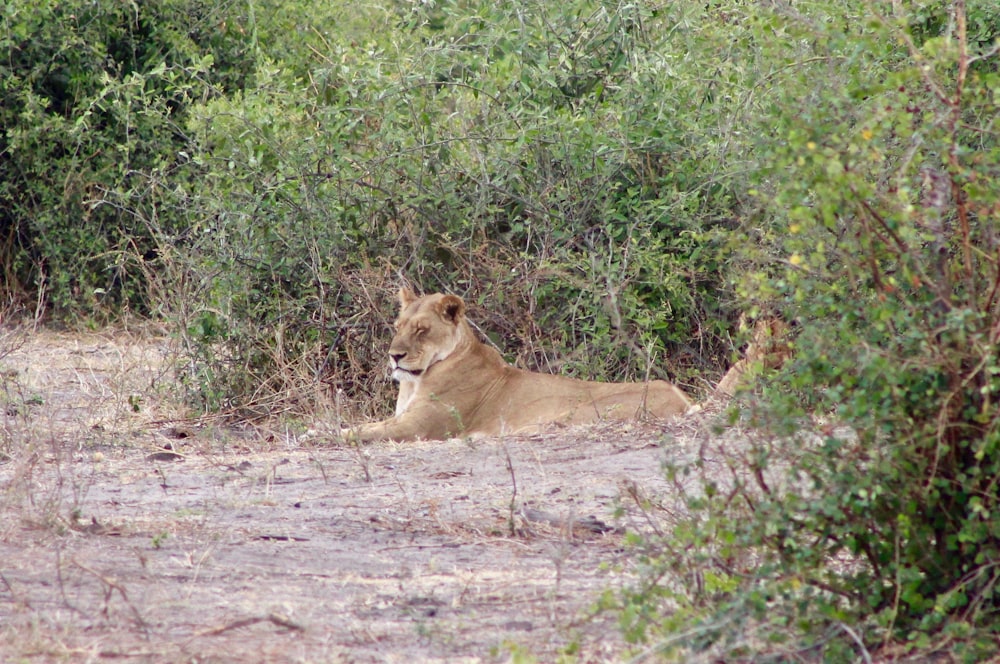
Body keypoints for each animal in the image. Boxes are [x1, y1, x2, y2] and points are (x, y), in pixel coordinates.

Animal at [344, 290, 696, 440]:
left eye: (421, 329)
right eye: (398, 326)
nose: (395, 355)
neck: (416, 380)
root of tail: (684, 398)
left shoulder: (417, 427)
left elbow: (356, 433)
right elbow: (361, 427)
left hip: (579, 411)